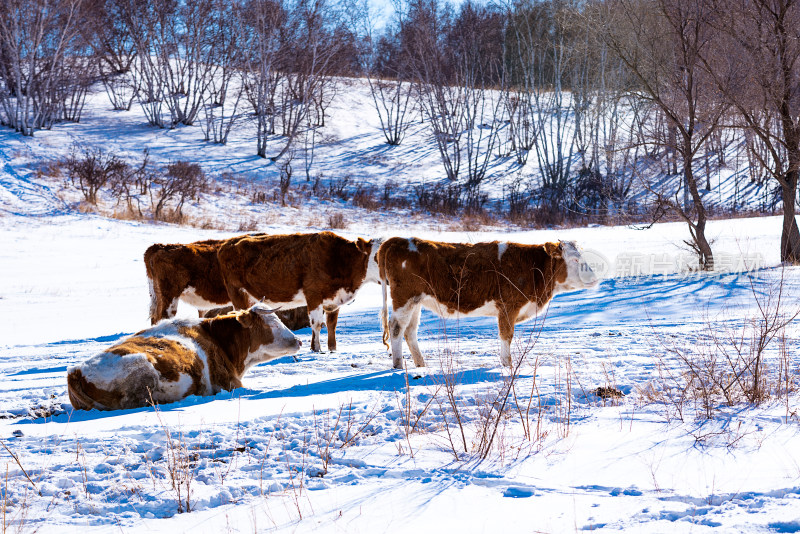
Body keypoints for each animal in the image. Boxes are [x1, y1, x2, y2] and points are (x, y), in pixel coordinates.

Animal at [217, 232, 382, 354]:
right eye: (378, 256)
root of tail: (227, 243)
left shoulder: (334, 299)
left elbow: (331, 325)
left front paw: (333, 349)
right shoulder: (313, 294)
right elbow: (316, 324)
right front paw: (317, 349)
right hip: (237, 293)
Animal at [380, 241, 600, 370]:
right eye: (575, 259)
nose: (595, 278)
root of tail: (396, 241)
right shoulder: (508, 307)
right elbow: (506, 336)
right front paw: (507, 365)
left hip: (415, 301)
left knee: (410, 331)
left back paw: (421, 364)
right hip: (404, 298)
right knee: (397, 328)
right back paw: (398, 366)